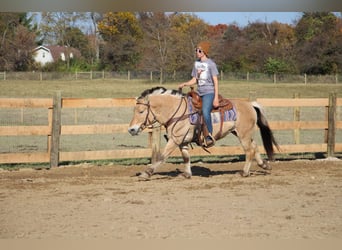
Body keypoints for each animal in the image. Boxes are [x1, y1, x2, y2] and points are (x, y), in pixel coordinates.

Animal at [127, 87, 278, 179]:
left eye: (141, 111)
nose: (131, 130)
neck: (177, 111)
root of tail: (250, 104)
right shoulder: (183, 141)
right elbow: (186, 157)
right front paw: (187, 174)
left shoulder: (175, 140)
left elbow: (161, 156)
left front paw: (146, 173)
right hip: (241, 133)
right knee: (255, 147)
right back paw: (265, 165)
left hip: (244, 135)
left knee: (249, 151)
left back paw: (245, 172)